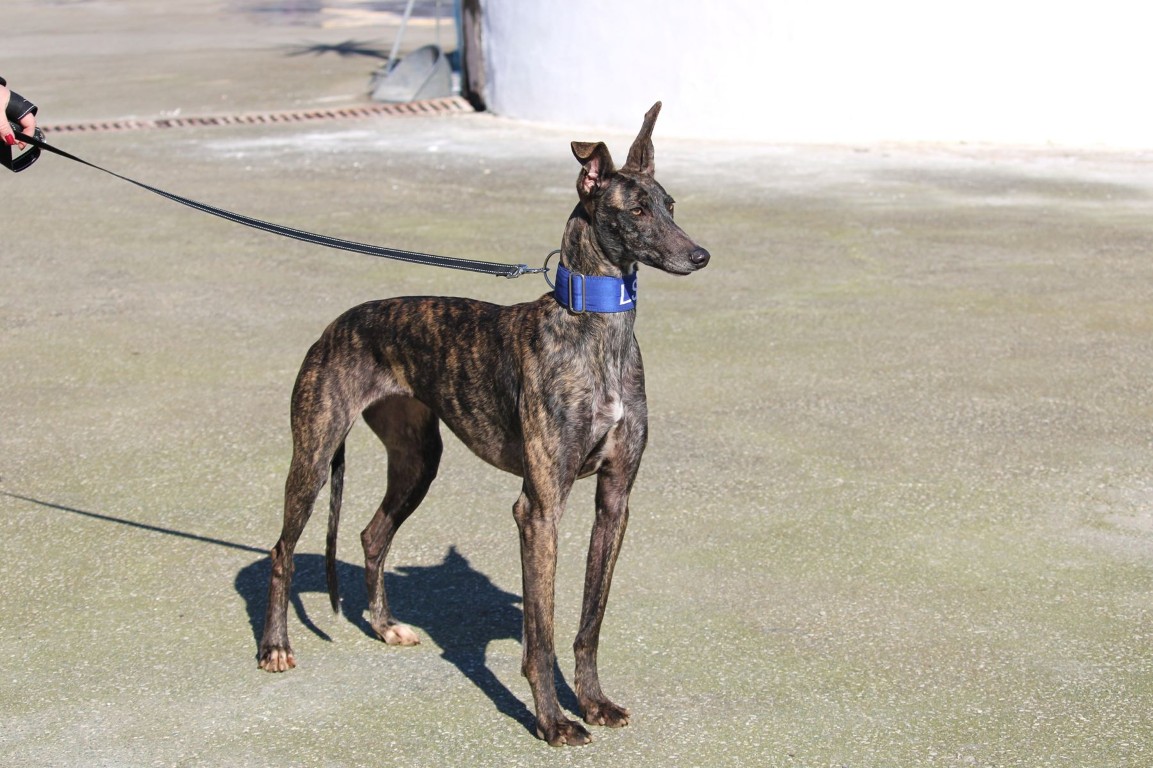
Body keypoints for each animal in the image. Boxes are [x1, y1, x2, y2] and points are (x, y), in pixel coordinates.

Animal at [258, 102, 710, 746]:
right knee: (282, 549)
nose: (699, 256)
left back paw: (386, 626)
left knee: (372, 534)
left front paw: (594, 702)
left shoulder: (615, 499)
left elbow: (588, 621)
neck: (593, 327)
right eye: (636, 210)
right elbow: (541, 632)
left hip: (417, 459)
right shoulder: (539, 508)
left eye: (671, 203)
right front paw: (552, 721)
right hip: (315, 455)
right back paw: (274, 647)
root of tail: (337, 324)